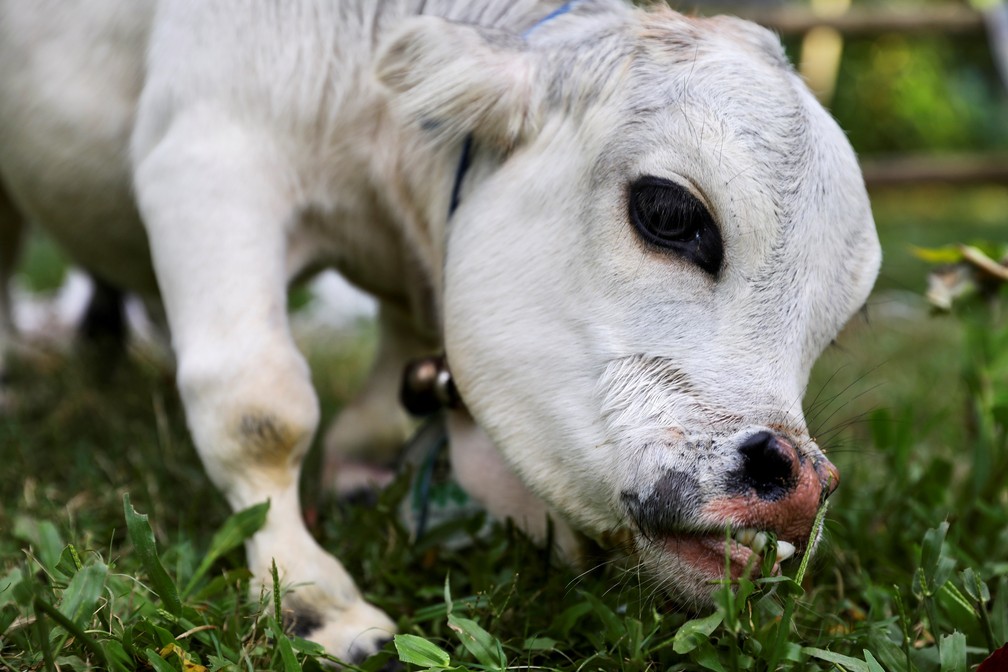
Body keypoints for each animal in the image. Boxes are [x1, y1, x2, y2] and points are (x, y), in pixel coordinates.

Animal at [0, 0, 881, 663]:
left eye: (836, 323)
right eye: (668, 211)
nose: (800, 486)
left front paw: (359, 473)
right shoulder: (209, 154)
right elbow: (259, 410)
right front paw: (312, 596)